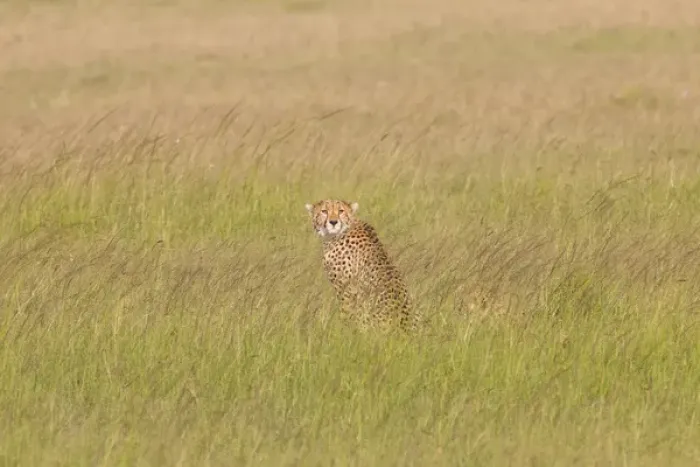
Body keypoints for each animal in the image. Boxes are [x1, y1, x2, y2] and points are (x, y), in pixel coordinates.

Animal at [304, 199, 419, 332]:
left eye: (341, 211)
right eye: (324, 211)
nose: (333, 222)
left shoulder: (345, 288)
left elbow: (345, 312)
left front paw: (343, 330)